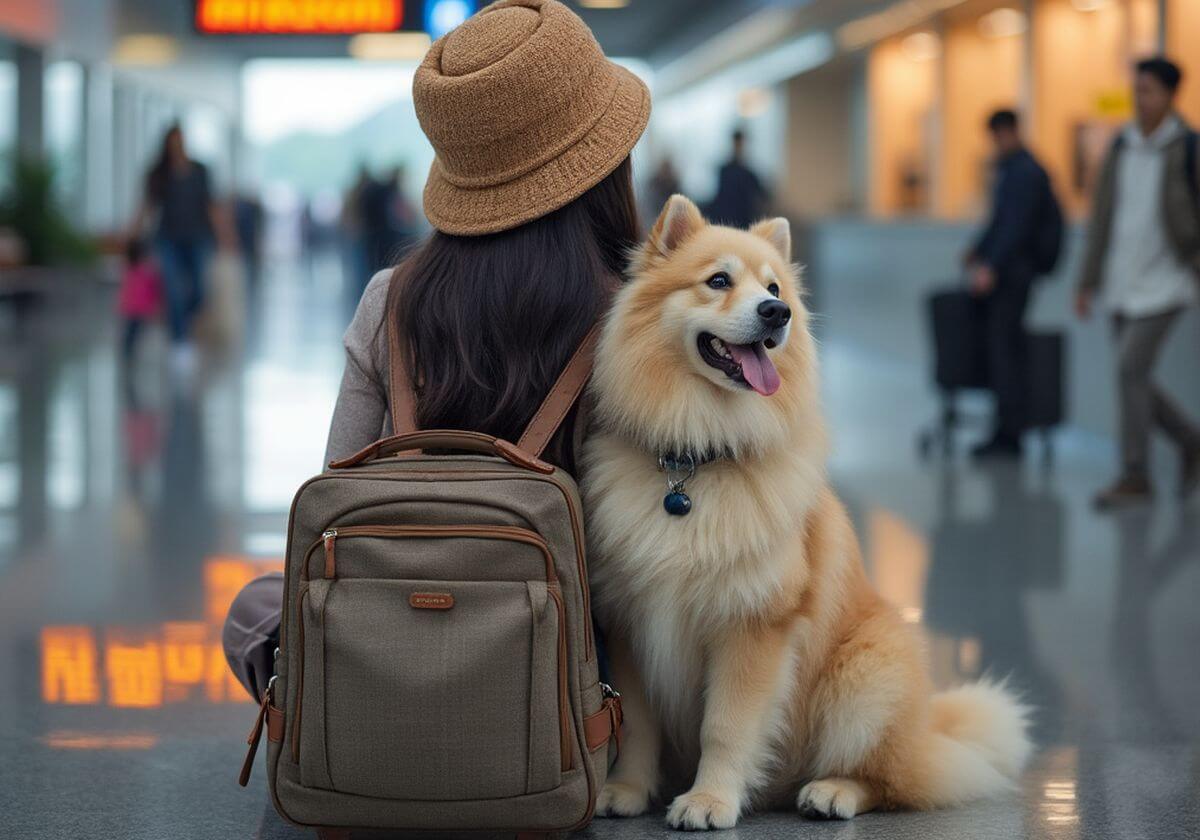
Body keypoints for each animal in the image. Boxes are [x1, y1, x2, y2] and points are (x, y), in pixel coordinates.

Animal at [580, 195, 1032, 825]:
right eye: (718, 281)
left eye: (774, 287)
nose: (777, 313)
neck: (696, 461)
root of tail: (930, 730)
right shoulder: (630, 624)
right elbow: (638, 725)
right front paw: (626, 790)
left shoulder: (752, 625)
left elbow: (727, 726)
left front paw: (710, 800)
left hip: (866, 676)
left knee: (886, 777)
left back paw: (831, 792)